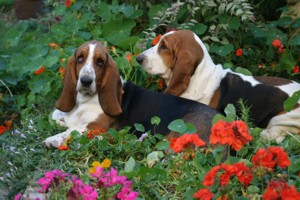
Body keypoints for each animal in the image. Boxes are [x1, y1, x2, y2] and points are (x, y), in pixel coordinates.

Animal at [43, 40, 219, 148]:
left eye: (100, 62)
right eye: (80, 58)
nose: (86, 81)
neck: (85, 100)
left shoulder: (95, 127)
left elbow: (71, 130)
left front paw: (53, 139)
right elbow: (56, 116)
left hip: (178, 131)